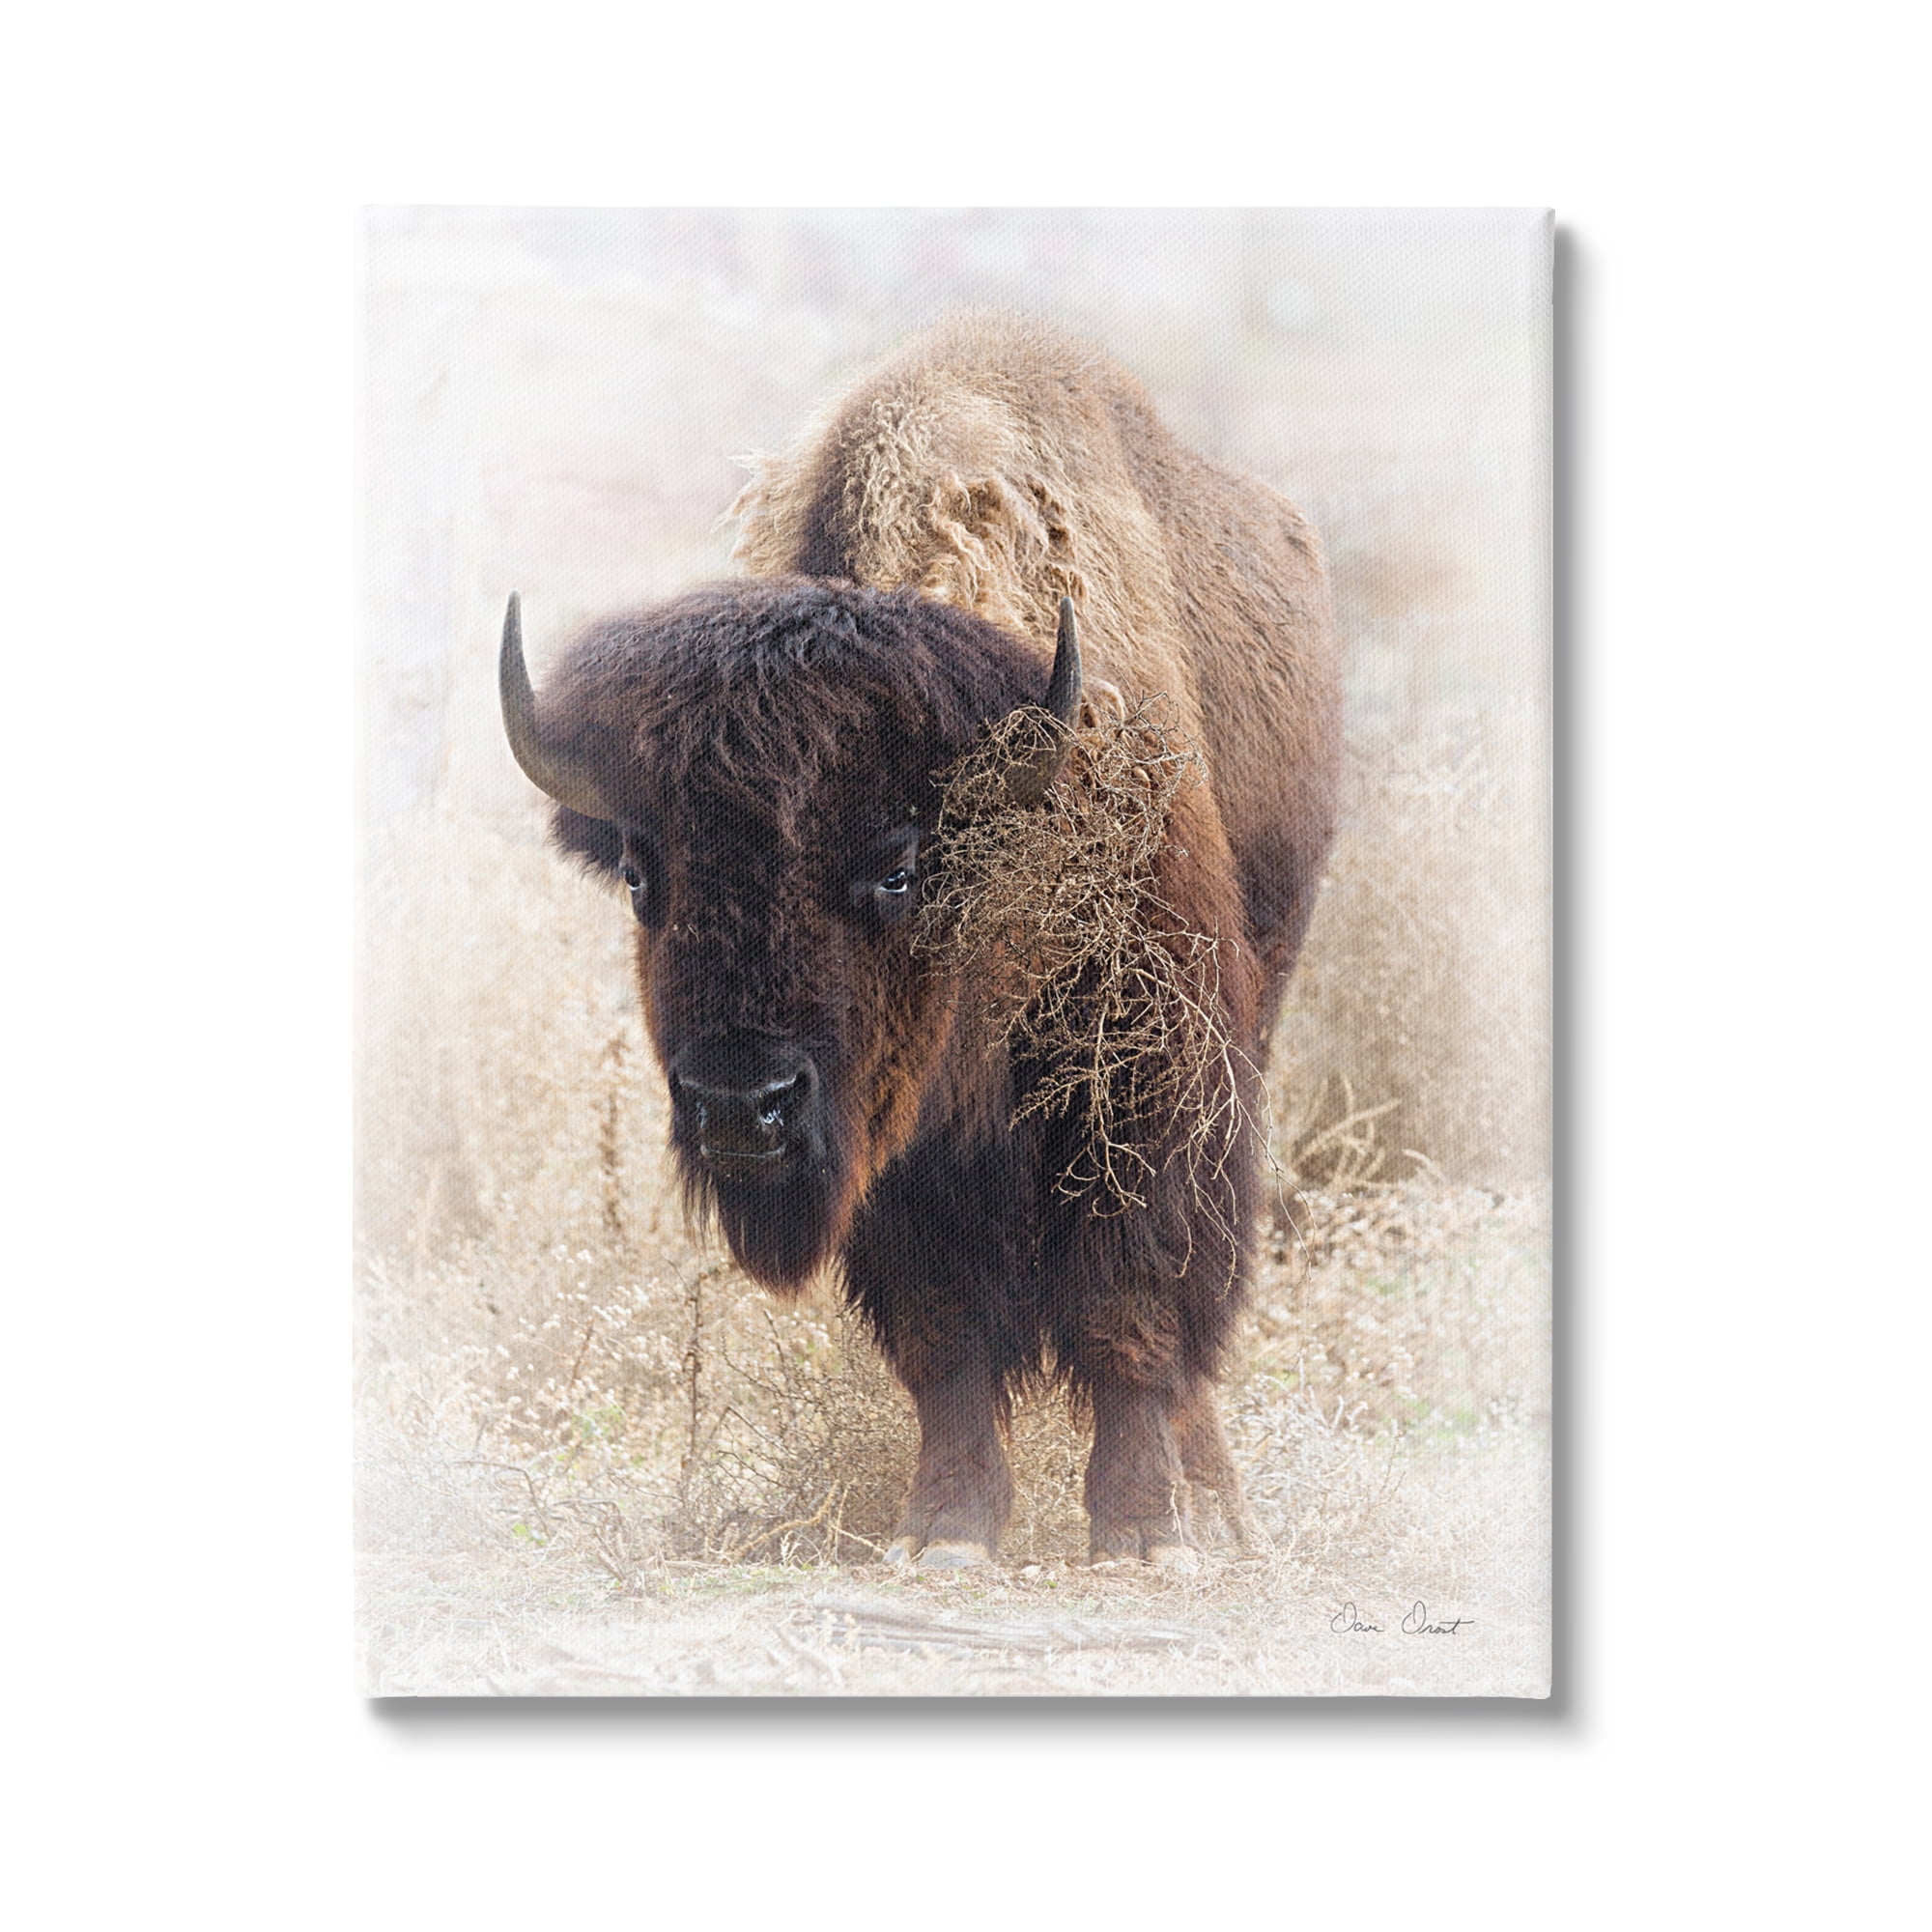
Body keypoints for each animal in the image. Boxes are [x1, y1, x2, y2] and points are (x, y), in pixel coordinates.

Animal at [499, 313, 1340, 1568]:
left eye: (897, 863)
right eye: (643, 871)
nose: (739, 1103)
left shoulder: (1151, 1084)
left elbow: (1131, 1304)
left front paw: (1141, 1531)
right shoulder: (900, 1155)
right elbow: (944, 1333)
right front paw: (946, 1526)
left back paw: (1216, 1509)